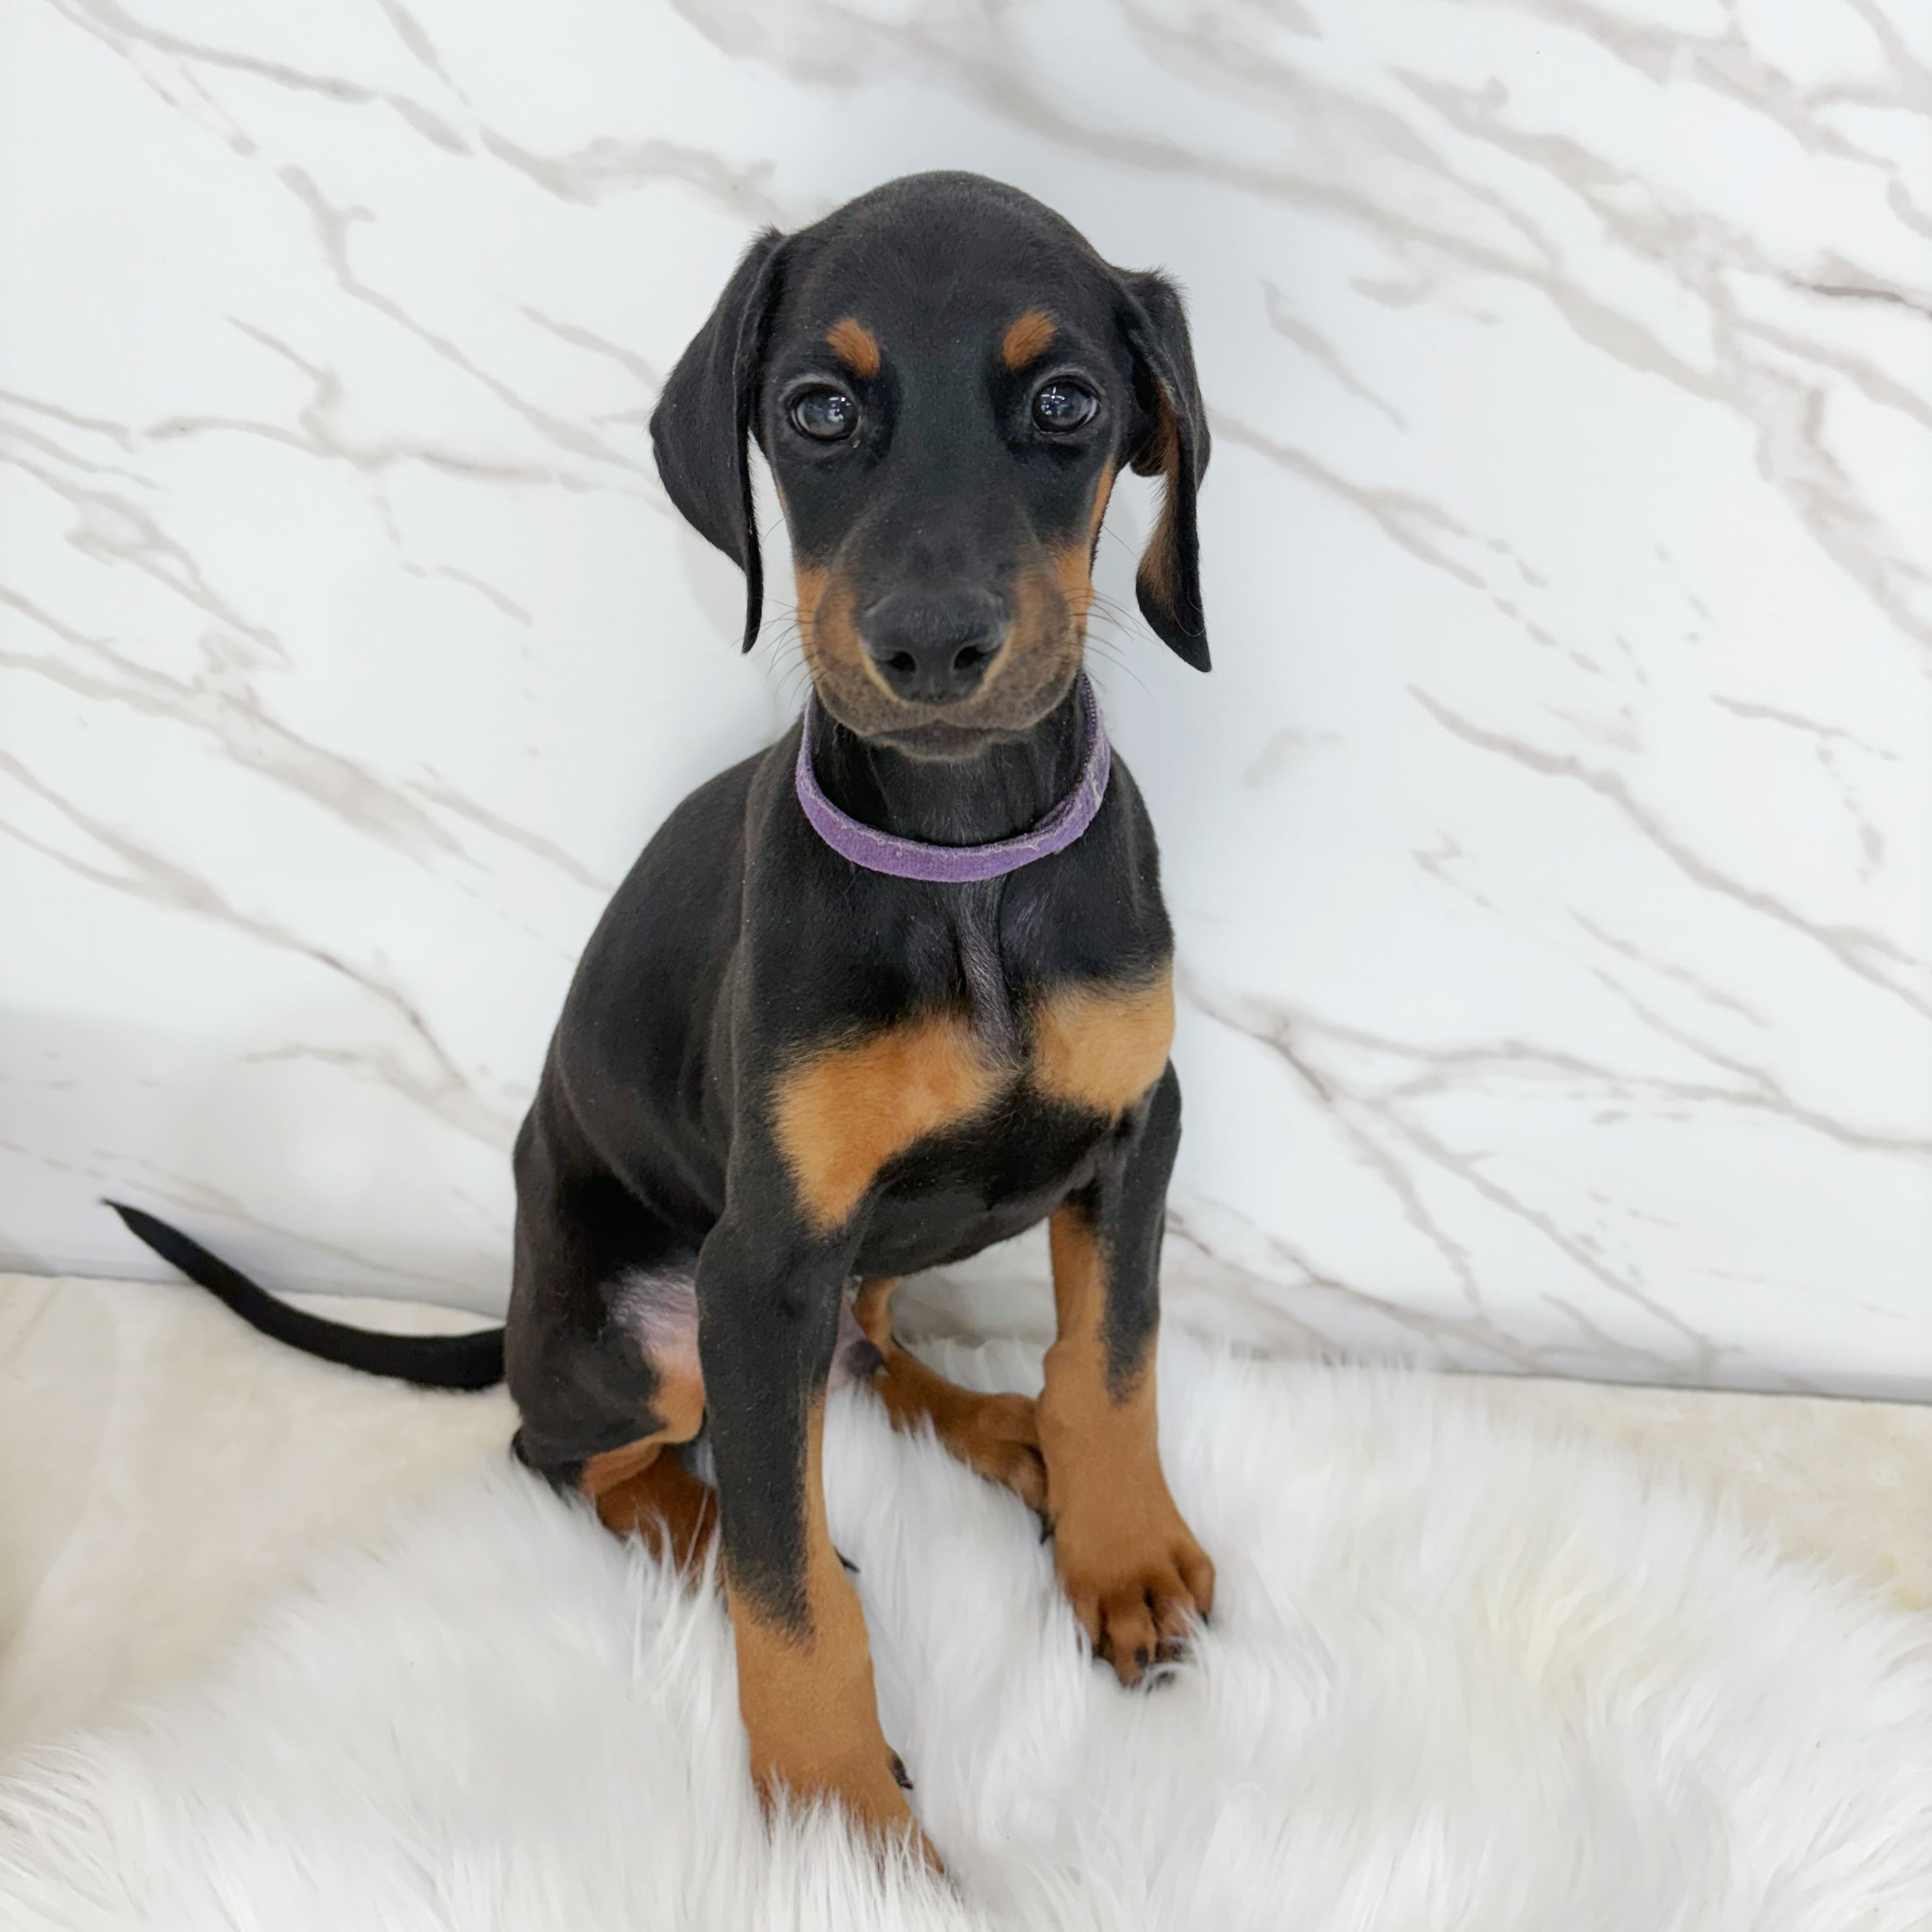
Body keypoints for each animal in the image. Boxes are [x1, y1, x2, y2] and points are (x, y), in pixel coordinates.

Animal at [114, 170, 1215, 1857]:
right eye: (818, 409)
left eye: (1069, 403)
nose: (933, 644)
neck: (963, 855)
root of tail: (518, 1314)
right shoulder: (760, 1259)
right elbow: (788, 1590)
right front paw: (839, 1818)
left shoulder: (1134, 1138)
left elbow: (1112, 1365)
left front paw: (1122, 1555)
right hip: (653, 1328)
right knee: (597, 1456)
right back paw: (716, 1530)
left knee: (866, 1363)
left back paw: (1003, 1428)